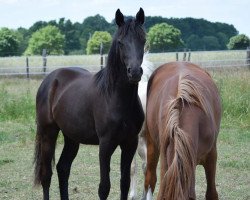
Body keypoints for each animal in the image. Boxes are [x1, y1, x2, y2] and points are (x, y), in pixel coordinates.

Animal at [34, 7, 146, 200]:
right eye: (120, 42)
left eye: (143, 40)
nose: (134, 72)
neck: (115, 98)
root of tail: (50, 79)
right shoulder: (105, 145)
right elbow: (104, 187)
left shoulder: (130, 143)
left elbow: (124, 183)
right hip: (48, 133)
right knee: (46, 175)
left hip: (71, 137)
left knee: (63, 168)